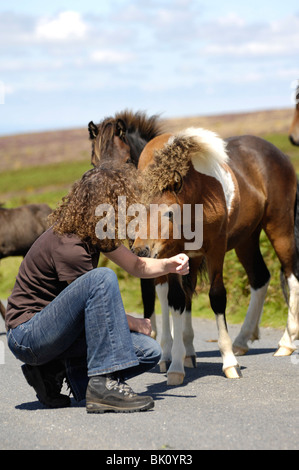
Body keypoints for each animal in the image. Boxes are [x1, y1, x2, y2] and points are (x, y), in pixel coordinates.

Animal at [133, 126, 299, 384]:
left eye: (169, 213)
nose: (141, 250)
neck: (198, 192)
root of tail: (278, 154)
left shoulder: (215, 249)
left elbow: (217, 296)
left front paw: (229, 363)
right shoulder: (176, 256)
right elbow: (178, 300)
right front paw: (176, 366)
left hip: (279, 226)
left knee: (292, 278)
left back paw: (286, 343)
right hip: (247, 239)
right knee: (260, 278)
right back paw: (242, 340)